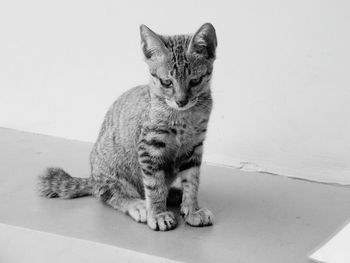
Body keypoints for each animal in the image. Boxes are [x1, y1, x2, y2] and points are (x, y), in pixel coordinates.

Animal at [38, 23, 216, 232]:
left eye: (195, 81)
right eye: (167, 82)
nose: (182, 101)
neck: (183, 117)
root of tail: (92, 178)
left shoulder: (194, 147)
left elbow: (192, 181)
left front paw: (192, 209)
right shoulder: (149, 146)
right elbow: (154, 185)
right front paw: (158, 213)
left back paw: (173, 194)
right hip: (110, 172)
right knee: (108, 194)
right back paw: (138, 205)